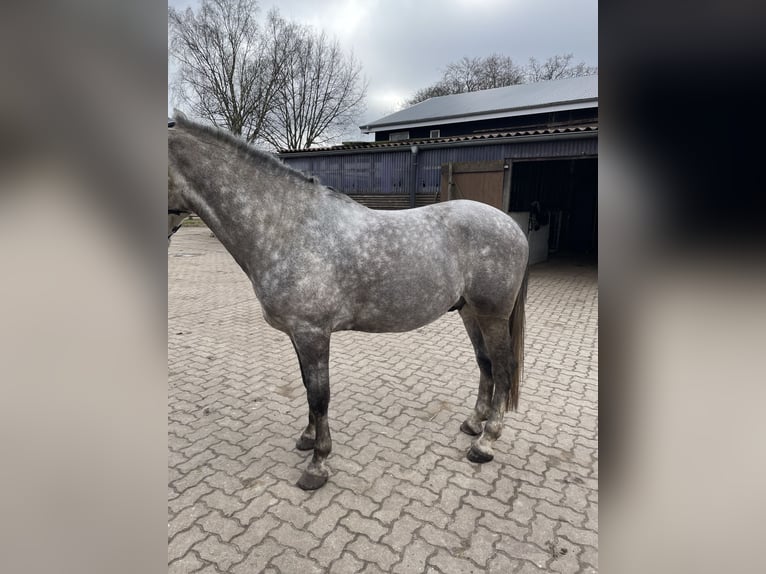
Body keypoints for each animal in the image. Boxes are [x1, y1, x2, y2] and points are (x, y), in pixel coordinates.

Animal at [168, 115, 529, 490]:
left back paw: (485, 443)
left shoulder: (313, 332)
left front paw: (317, 464)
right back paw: (473, 424)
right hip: (470, 313)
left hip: (492, 316)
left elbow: (319, 394)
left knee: (503, 369)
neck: (288, 228)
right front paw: (307, 438)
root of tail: (511, 226)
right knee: (485, 365)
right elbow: (307, 386)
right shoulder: (299, 333)